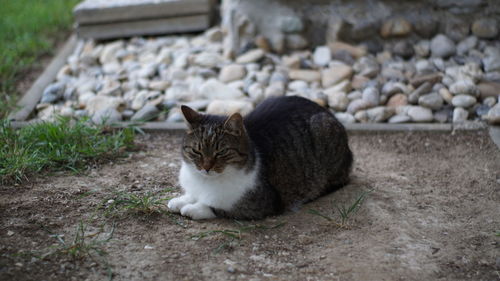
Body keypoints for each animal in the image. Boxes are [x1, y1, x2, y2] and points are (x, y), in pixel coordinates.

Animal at [168, 95, 352, 219]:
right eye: (196, 151)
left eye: (221, 152)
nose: (206, 167)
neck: (205, 181)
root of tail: (327, 113)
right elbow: (191, 194)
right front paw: (180, 200)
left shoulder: (263, 203)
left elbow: (217, 207)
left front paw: (194, 208)